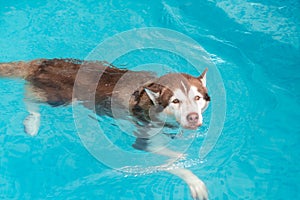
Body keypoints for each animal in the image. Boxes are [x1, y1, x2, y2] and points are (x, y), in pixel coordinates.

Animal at [0, 58, 210, 199]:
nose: (193, 117)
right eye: (175, 101)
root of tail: (42, 62)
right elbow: (170, 160)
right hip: (57, 95)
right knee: (30, 99)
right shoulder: (144, 139)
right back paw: (32, 122)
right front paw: (192, 177)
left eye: (197, 98)